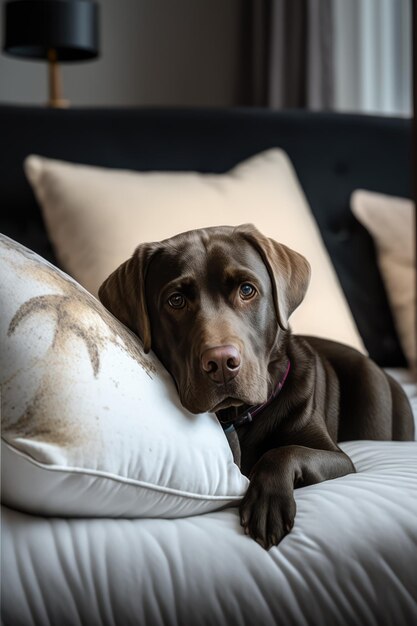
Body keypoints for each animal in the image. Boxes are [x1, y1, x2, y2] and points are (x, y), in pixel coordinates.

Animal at [98, 223, 412, 544]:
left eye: (247, 290)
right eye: (176, 300)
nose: (221, 363)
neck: (238, 417)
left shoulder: (339, 458)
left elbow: (284, 451)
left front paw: (268, 503)